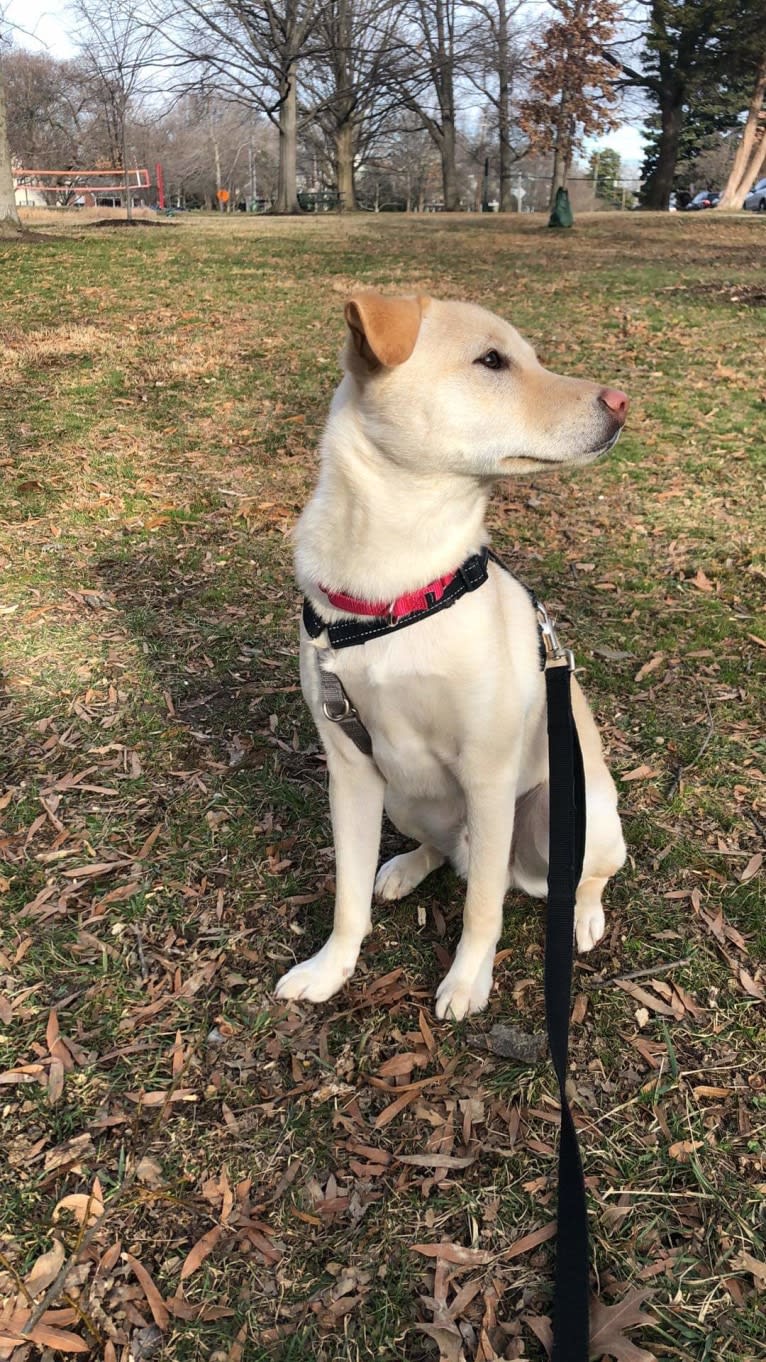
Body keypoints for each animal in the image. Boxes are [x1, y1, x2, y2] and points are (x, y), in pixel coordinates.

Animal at [273, 298, 626, 1024]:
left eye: (531, 357)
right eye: (492, 361)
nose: (621, 402)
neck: (398, 583)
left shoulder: (488, 776)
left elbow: (483, 909)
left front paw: (467, 982)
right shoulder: (349, 770)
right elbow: (347, 898)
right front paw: (330, 970)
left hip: (573, 813)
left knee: (582, 878)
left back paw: (583, 918)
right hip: (403, 797)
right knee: (437, 849)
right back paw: (407, 867)